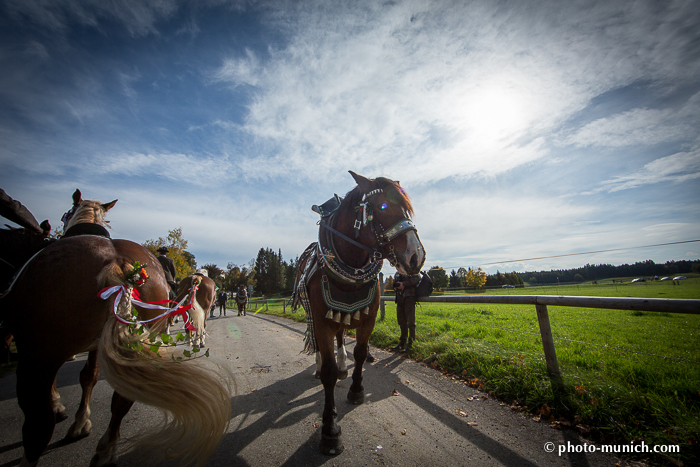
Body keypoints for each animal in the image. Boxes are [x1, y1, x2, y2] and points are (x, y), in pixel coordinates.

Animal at [2, 190, 232, 467]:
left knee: (44, 419)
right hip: (44, 353)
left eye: (66, 214)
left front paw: (78, 420)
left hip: (42, 353)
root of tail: (120, 264)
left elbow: (88, 377)